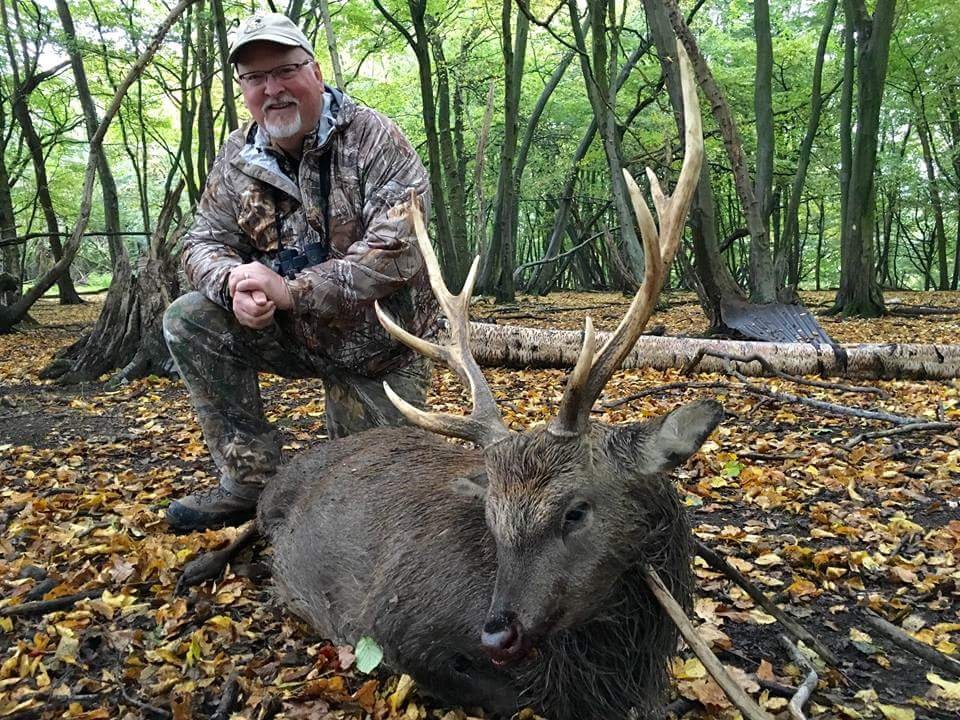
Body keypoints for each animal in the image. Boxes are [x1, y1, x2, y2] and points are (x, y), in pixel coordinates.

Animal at [176, 43, 736, 720]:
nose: (499, 631)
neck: (608, 665)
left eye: (576, 510)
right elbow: (506, 698)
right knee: (247, 521)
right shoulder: (394, 627)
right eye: (492, 517)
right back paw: (198, 564)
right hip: (273, 500)